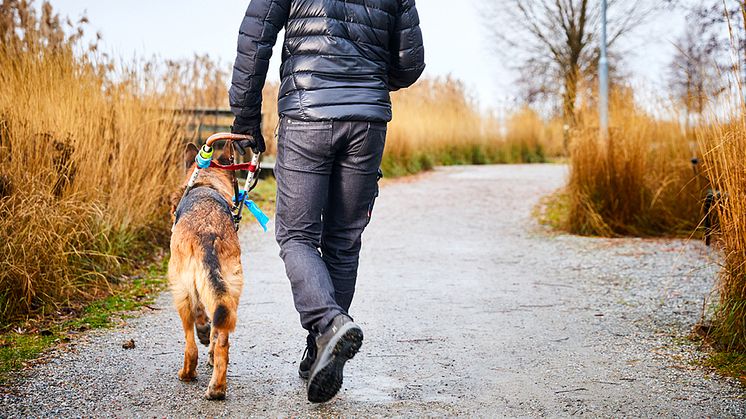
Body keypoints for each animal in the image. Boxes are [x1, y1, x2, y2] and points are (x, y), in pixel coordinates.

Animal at [167, 142, 243, 400]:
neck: (206, 184)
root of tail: (208, 232)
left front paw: (202, 328)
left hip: (180, 290)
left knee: (191, 345)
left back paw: (187, 373)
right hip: (230, 290)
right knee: (222, 339)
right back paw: (217, 387)